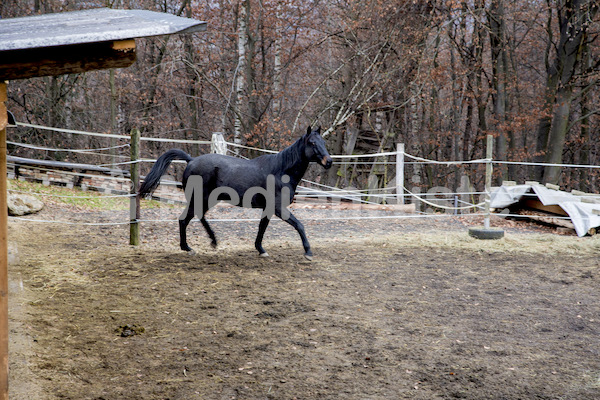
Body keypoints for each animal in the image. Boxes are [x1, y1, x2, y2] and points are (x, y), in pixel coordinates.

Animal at [139, 126, 332, 260]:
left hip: (207, 200)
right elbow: (299, 225)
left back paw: (212, 241)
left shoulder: (268, 208)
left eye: (323, 143)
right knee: (184, 220)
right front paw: (308, 252)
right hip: (201, 198)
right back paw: (189, 248)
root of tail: (191, 160)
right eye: (312, 143)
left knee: (197, 217)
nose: (329, 161)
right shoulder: (278, 208)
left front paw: (261, 250)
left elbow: (262, 228)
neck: (281, 171)